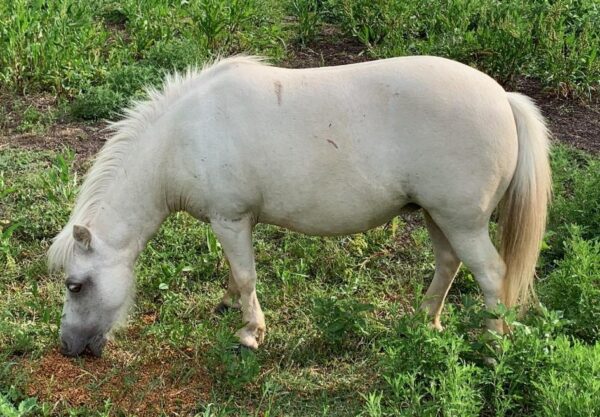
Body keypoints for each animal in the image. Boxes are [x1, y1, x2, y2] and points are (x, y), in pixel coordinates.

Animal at [49, 55, 552, 354]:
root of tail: (504, 97)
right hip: (436, 215)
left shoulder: (231, 219)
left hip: (463, 222)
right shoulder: (232, 223)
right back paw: (424, 321)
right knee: (448, 264)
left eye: (76, 285)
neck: (183, 138)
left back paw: (493, 345)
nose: (69, 347)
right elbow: (235, 273)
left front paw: (251, 332)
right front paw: (229, 305)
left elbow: (246, 275)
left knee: (491, 274)